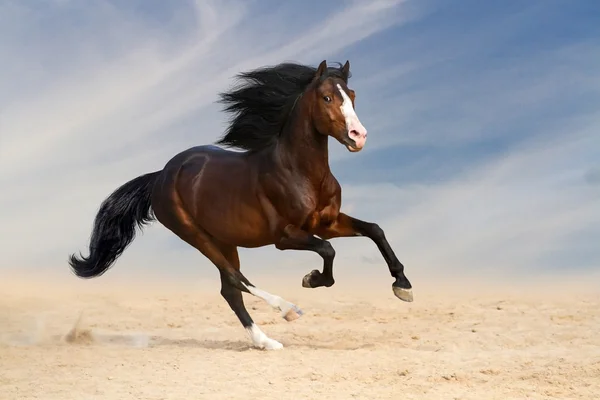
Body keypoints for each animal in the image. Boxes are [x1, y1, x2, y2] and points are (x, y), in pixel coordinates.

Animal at [67, 58, 412, 350]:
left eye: (352, 95)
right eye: (327, 98)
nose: (358, 136)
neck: (300, 172)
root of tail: (161, 175)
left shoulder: (326, 222)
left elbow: (375, 230)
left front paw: (402, 285)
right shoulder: (285, 237)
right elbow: (328, 250)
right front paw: (312, 279)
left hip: (224, 238)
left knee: (229, 288)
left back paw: (264, 341)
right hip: (193, 234)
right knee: (235, 278)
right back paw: (287, 310)